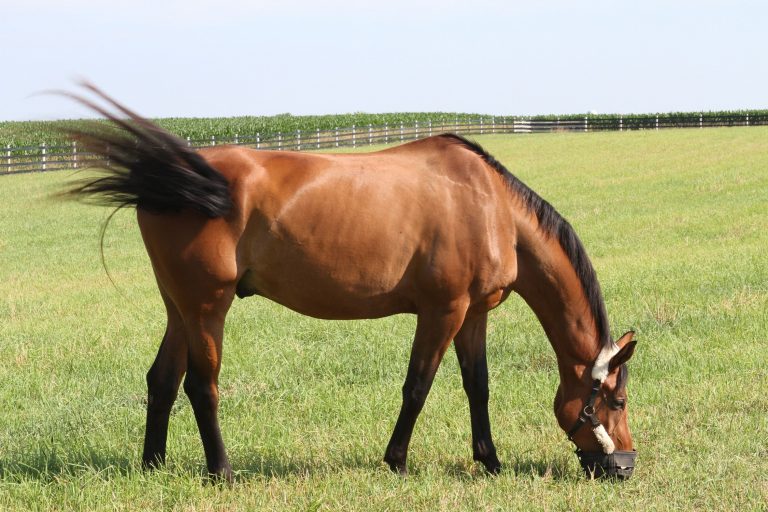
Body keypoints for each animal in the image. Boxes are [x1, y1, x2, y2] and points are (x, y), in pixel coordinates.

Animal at [63, 85, 638, 481]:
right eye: (617, 400)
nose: (625, 466)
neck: (489, 205)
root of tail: (175, 175)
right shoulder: (443, 311)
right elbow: (418, 385)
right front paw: (397, 461)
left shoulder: (473, 313)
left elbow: (478, 385)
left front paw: (490, 461)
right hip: (208, 307)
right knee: (201, 385)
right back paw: (221, 472)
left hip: (179, 306)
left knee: (161, 379)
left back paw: (153, 465)